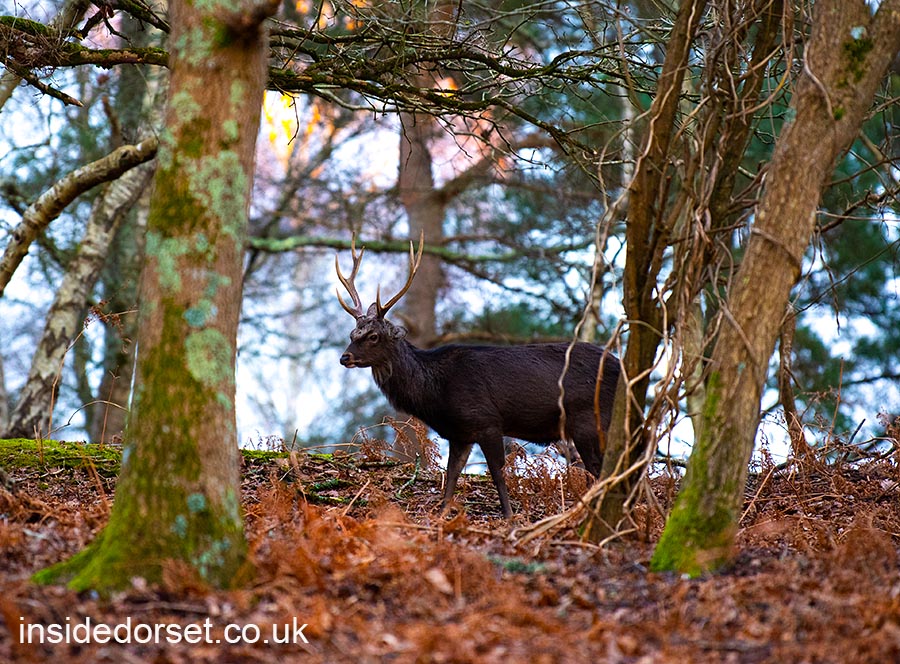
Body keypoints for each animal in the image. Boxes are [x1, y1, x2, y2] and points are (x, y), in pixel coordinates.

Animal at [336, 235, 620, 518]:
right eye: (352, 334)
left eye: (373, 336)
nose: (344, 358)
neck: (434, 392)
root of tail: (621, 367)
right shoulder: (460, 433)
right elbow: (451, 476)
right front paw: (441, 515)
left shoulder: (487, 420)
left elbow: (497, 473)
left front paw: (509, 517)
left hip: (588, 418)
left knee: (601, 469)